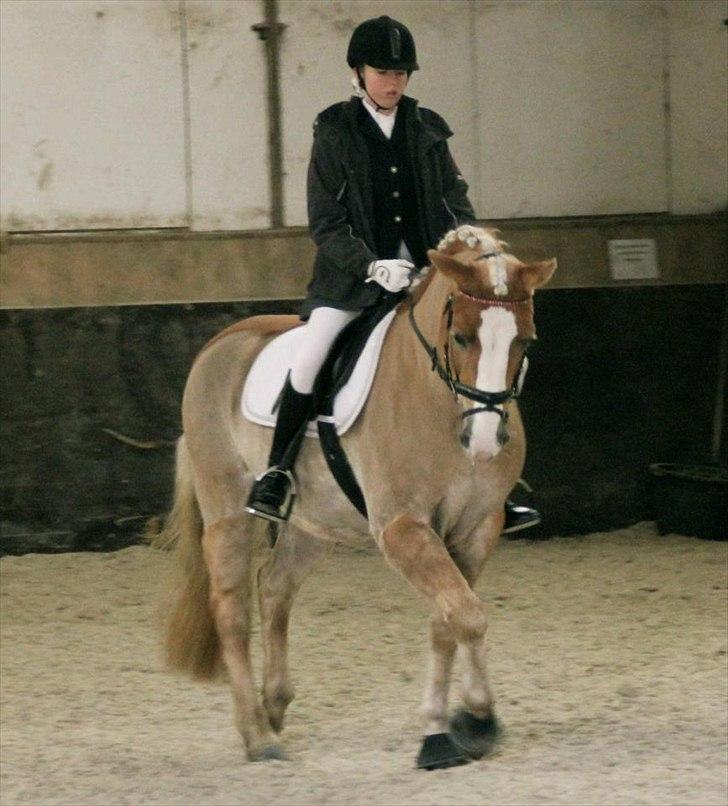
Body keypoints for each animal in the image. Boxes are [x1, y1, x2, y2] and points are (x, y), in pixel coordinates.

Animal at [159, 223, 556, 772]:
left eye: (525, 339)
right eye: (461, 337)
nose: (482, 442)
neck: (436, 401)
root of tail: (217, 344)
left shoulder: (476, 528)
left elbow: (452, 619)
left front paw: (452, 726)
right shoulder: (402, 528)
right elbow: (468, 616)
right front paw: (469, 724)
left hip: (314, 522)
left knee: (275, 586)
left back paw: (274, 705)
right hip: (226, 510)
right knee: (232, 610)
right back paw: (258, 736)